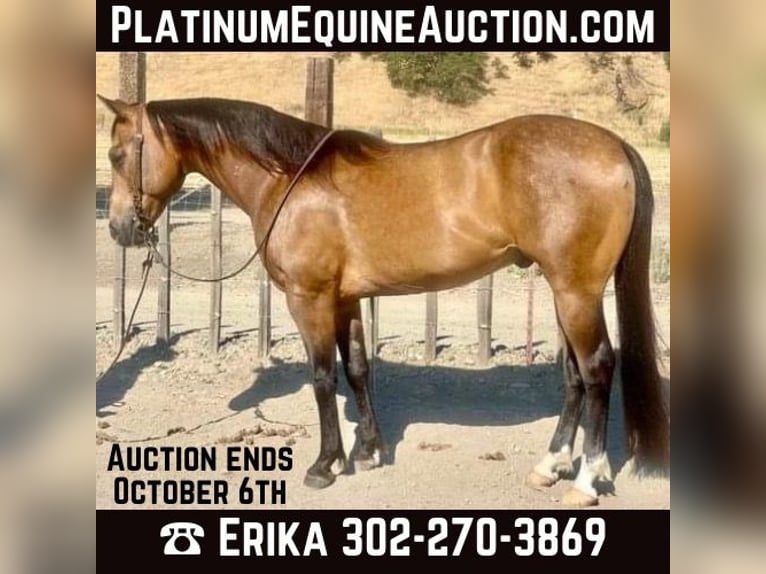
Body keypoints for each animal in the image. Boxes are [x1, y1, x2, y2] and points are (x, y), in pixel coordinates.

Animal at [98, 95, 669, 506]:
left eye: (118, 155)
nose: (121, 229)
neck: (290, 179)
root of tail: (614, 145)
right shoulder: (346, 301)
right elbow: (357, 370)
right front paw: (369, 450)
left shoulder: (310, 300)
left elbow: (323, 378)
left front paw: (325, 464)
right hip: (563, 290)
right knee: (574, 375)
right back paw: (550, 467)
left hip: (576, 292)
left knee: (597, 369)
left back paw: (587, 480)